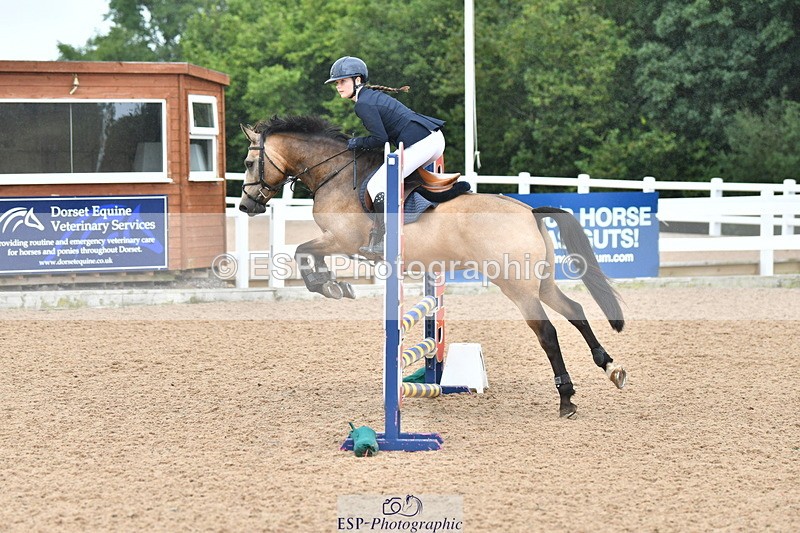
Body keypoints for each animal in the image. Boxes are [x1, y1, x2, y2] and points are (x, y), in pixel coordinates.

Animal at [238, 115, 627, 418]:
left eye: (247, 163)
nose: (245, 206)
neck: (335, 172)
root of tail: (529, 210)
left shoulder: (341, 240)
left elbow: (302, 252)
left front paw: (329, 285)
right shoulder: (337, 241)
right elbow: (305, 253)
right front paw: (333, 284)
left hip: (516, 287)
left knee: (547, 332)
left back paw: (566, 399)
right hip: (540, 283)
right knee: (575, 311)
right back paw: (611, 367)